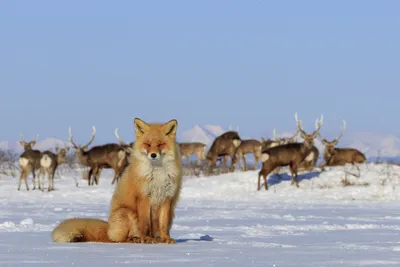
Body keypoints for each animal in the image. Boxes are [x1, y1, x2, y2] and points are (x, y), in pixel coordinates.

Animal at [52, 119, 183, 245]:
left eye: (161, 144)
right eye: (148, 144)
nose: (153, 155)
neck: (157, 175)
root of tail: (108, 229)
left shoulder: (167, 198)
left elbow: (163, 224)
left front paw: (166, 239)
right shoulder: (143, 197)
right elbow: (145, 224)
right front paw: (147, 239)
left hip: (171, 213)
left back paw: (156, 239)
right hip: (127, 213)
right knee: (120, 239)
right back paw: (137, 239)